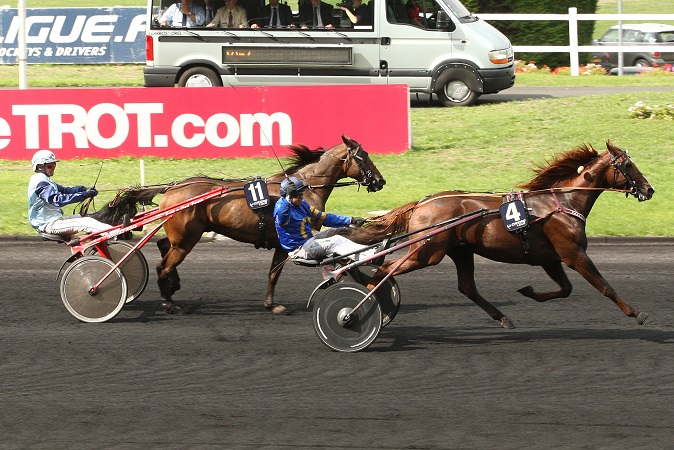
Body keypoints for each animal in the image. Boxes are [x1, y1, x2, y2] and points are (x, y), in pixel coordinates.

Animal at [94, 135, 384, 314]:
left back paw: (173, 286)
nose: (380, 181)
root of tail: (173, 187)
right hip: (186, 240)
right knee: (163, 266)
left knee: (164, 245)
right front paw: (273, 305)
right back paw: (169, 303)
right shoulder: (289, 240)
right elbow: (276, 272)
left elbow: (273, 273)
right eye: (363, 156)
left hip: (184, 236)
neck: (302, 187)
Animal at [338, 141, 652, 326]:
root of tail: (423, 203)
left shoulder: (550, 258)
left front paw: (530, 292)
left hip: (460, 251)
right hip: (428, 251)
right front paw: (636, 313)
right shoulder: (573, 254)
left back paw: (502, 318)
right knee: (387, 268)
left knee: (467, 287)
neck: (563, 201)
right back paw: (364, 307)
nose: (649, 189)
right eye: (627, 165)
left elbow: (565, 289)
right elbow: (605, 287)